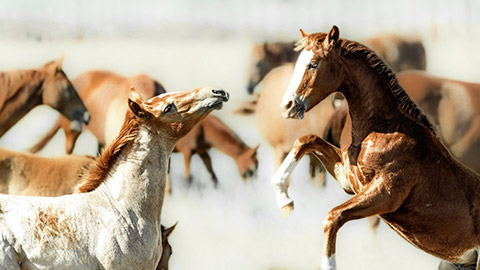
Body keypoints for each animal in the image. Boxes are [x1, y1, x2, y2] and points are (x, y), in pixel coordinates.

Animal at [272, 25, 480, 270]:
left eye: (313, 64)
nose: (287, 107)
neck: (386, 130)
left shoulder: (385, 195)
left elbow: (333, 217)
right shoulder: (349, 180)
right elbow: (306, 140)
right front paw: (284, 200)